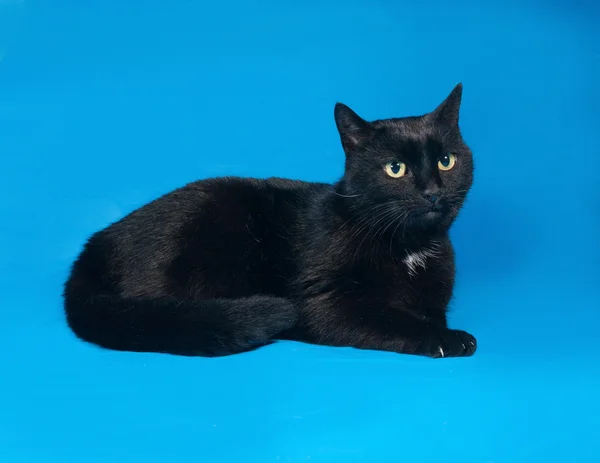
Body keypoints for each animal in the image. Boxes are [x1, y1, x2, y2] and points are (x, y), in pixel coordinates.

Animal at [63, 83, 476, 358]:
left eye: (446, 161)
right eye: (395, 168)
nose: (432, 191)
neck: (410, 249)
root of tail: (97, 242)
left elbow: (427, 313)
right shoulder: (324, 302)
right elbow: (390, 317)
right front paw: (449, 338)